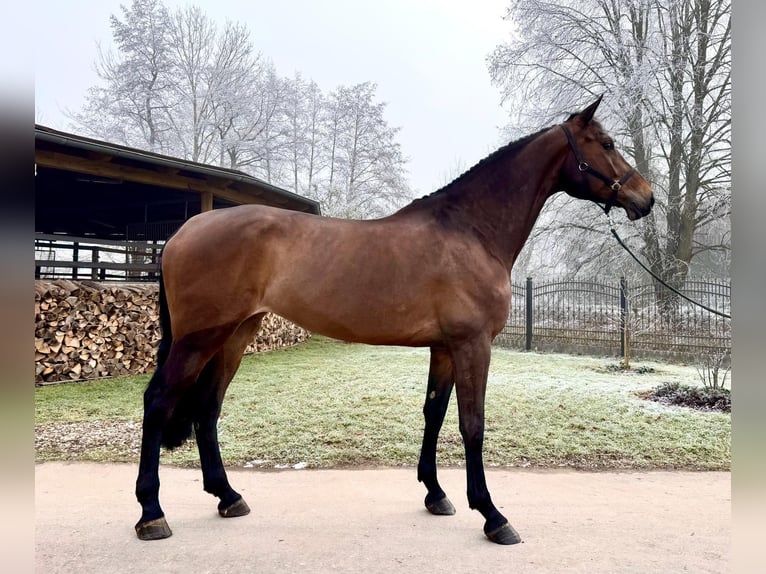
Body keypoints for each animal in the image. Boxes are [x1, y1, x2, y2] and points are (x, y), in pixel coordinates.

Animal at [136, 97, 656, 548]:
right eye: (607, 143)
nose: (645, 198)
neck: (470, 231)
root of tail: (183, 231)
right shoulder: (472, 345)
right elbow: (473, 424)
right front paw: (492, 515)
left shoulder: (444, 347)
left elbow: (434, 413)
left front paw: (436, 494)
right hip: (199, 339)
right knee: (159, 401)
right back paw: (151, 514)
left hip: (235, 335)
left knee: (207, 408)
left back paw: (228, 496)